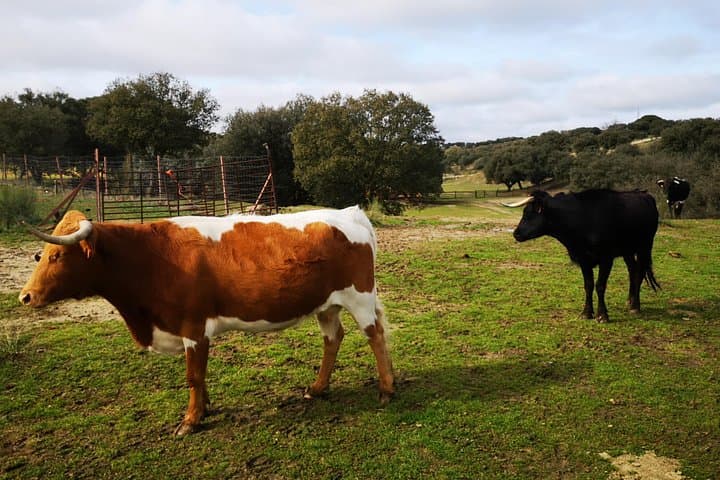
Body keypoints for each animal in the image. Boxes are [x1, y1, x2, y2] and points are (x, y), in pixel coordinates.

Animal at [19, 206, 394, 435]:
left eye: (57, 255)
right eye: (41, 255)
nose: (26, 296)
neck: (149, 259)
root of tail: (348, 213)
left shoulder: (193, 327)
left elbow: (193, 376)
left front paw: (191, 420)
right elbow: (199, 375)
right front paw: (204, 408)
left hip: (360, 297)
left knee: (375, 335)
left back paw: (386, 389)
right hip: (326, 305)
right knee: (334, 338)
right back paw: (317, 388)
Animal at [504, 189, 660, 322]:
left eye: (530, 213)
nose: (516, 234)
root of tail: (644, 194)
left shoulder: (606, 259)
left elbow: (600, 285)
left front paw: (602, 315)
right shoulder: (583, 259)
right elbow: (588, 285)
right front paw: (586, 313)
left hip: (645, 247)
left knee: (639, 273)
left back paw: (635, 306)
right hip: (627, 251)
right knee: (632, 271)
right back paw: (630, 300)